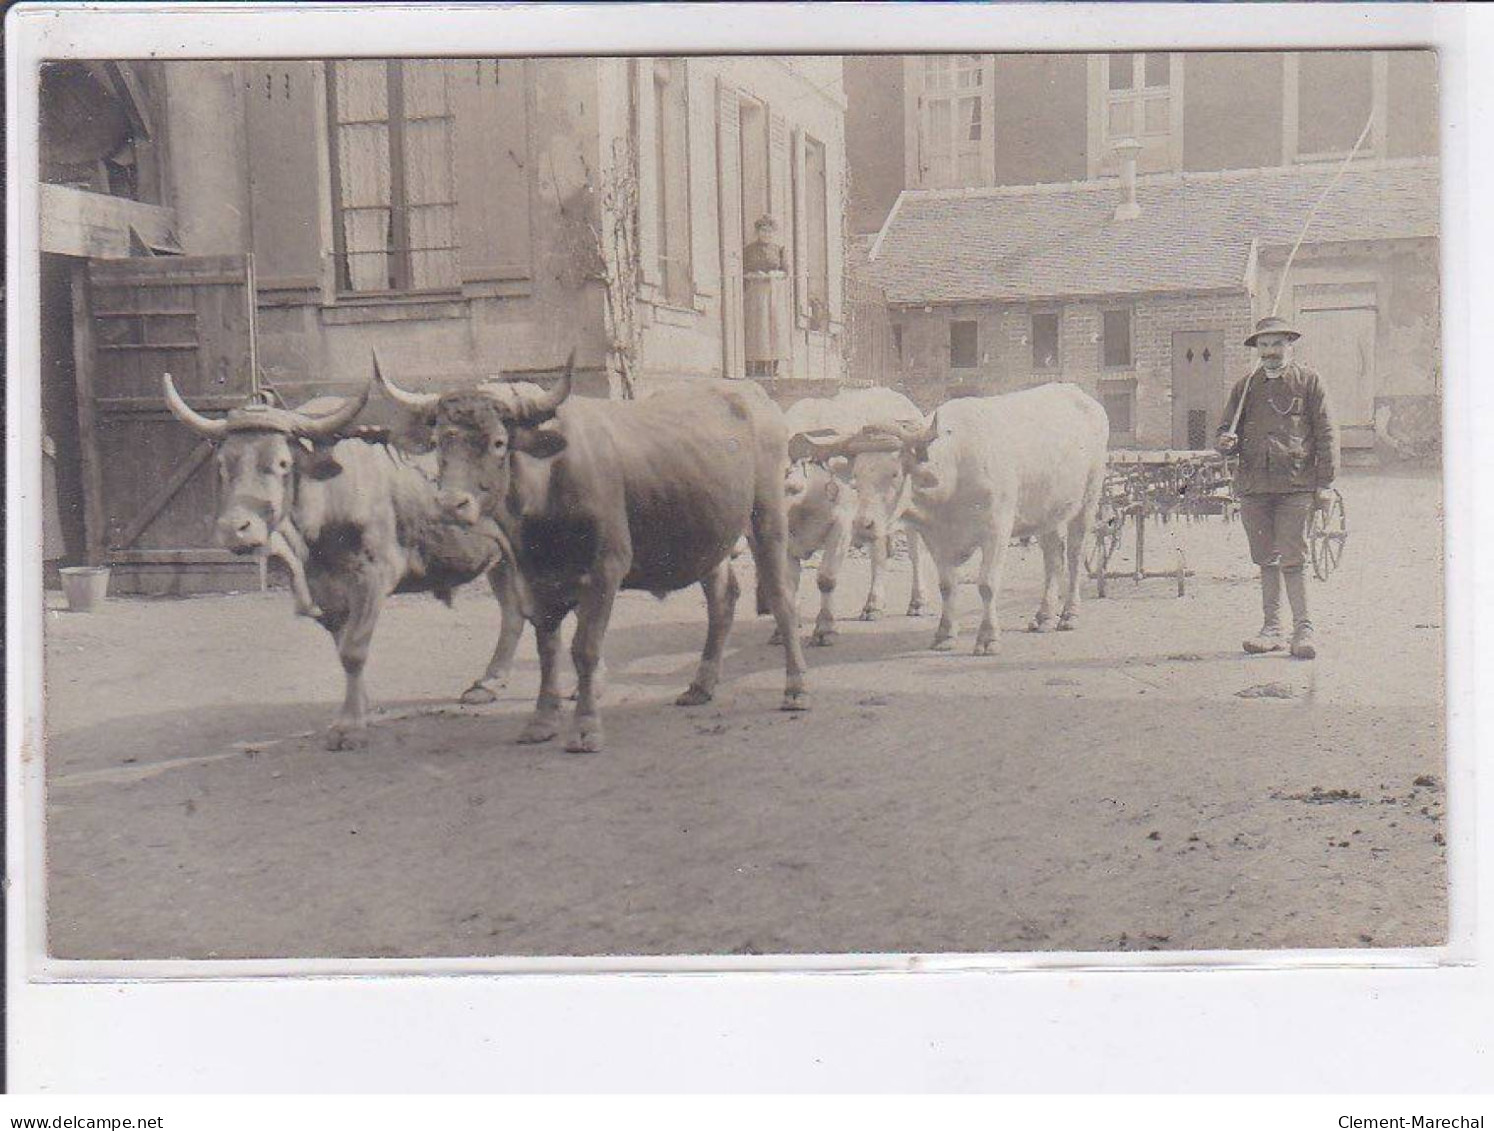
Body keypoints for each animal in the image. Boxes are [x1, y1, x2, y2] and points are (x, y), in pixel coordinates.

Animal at [162, 369, 525, 750]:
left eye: (281, 463)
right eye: (222, 465)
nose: (236, 529)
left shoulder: (372, 577)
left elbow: (354, 649)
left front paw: (349, 726)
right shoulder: (326, 590)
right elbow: (343, 650)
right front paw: (361, 709)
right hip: (500, 558)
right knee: (513, 612)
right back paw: (488, 683)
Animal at [379, 348, 812, 753]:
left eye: (499, 442)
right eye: (439, 442)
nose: (451, 504)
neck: (547, 486)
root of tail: (751, 394)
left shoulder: (606, 569)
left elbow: (584, 648)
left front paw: (585, 727)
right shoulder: (536, 578)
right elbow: (547, 649)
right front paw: (541, 720)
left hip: (767, 515)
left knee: (781, 595)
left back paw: (796, 687)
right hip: (707, 533)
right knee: (722, 599)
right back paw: (700, 685)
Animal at [776, 382, 926, 645]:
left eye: (789, 485)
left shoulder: (842, 527)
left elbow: (826, 578)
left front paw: (825, 628)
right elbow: (788, 585)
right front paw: (784, 629)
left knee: (914, 555)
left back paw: (916, 602)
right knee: (879, 554)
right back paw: (873, 605)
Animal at [830, 380, 1111, 654]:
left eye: (895, 474)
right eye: (856, 476)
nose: (863, 525)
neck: (954, 473)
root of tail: (1078, 393)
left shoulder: (997, 530)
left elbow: (987, 584)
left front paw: (988, 638)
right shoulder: (936, 538)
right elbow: (947, 585)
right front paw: (944, 634)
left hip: (1089, 499)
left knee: (1074, 556)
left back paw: (1069, 614)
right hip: (1045, 512)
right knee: (1053, 558)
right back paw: (1044, 616)